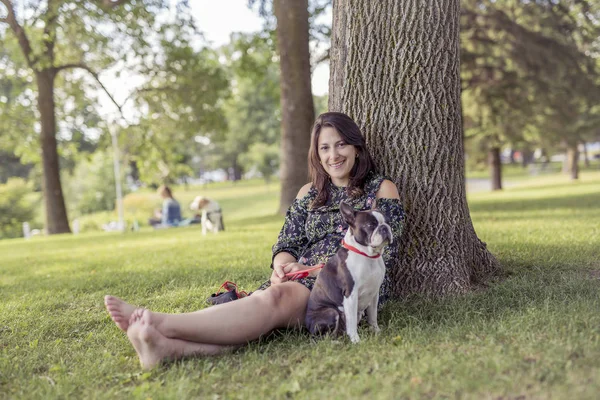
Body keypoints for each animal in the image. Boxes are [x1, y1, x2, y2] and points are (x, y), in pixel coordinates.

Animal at [304, 202, 394, 342]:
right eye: (371, 225)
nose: (384, 227)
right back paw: (335, 342)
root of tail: (308, 328)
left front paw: (376, 331)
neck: (367, 256)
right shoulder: (351, 295)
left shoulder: (374, 293)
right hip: (331, 312)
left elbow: (373, 316)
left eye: (388, 222)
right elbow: (351, 323)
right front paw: (356, 340)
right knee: (323, 337)